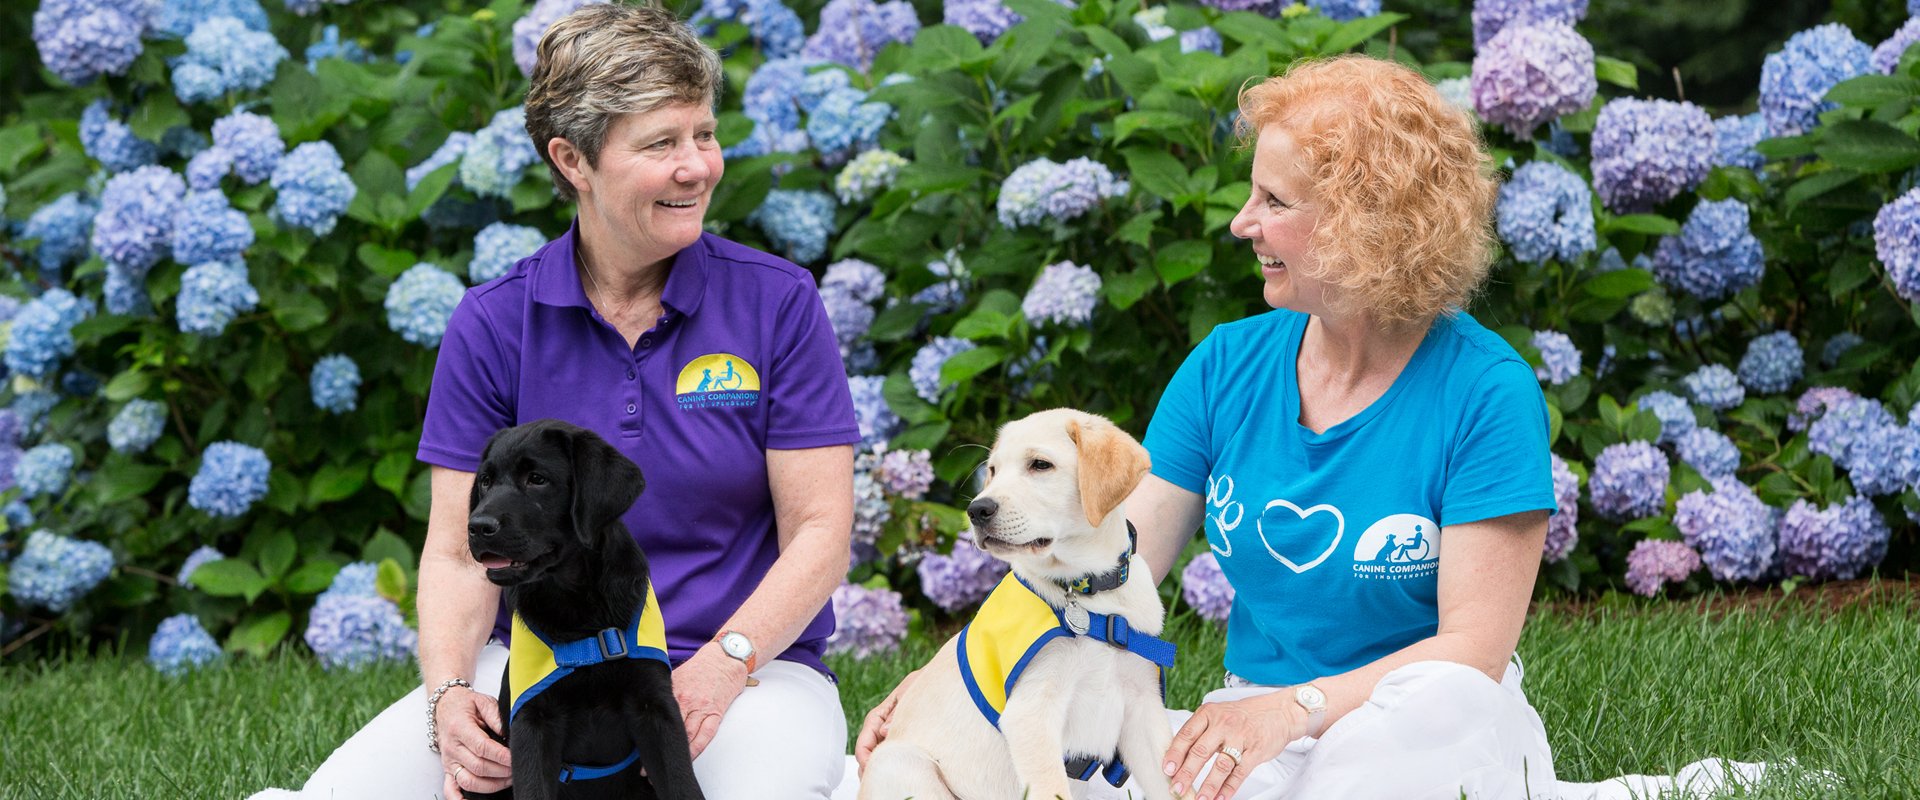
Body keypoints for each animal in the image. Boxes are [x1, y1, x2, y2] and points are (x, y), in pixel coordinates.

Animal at [464, 418, 706, 798]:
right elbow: (532, 787)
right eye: (485, 481)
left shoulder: (656, 707)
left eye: (537, 479)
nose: (477, 526)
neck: (579, 608)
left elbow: (681, 783)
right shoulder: (533, 720)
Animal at [864, 408, 1175, 798]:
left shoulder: (1142, 705)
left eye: (1040, 465)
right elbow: (1052, 788)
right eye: (993, 470)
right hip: (904, 764)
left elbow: (1173, 786)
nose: (976, 510)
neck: (1090, 595)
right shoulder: (1032, 714)